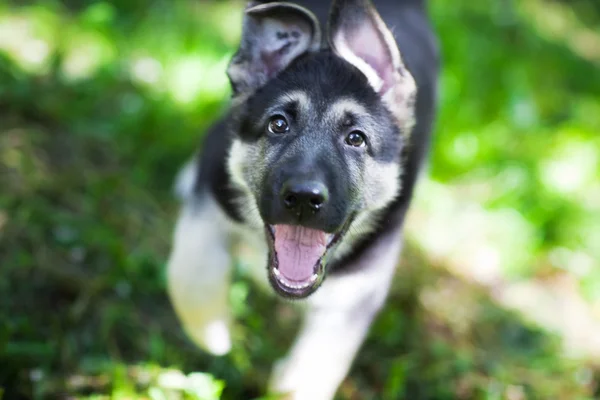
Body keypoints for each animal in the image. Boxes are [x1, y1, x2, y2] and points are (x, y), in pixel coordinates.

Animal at [166, 0, 438, 396]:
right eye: (278, 124)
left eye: (356, 139)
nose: (304, 198)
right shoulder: (211, 195)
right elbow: (192, 273)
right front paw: (214, 334)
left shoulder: (359, 285)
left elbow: (315, 367)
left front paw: (290, 381)